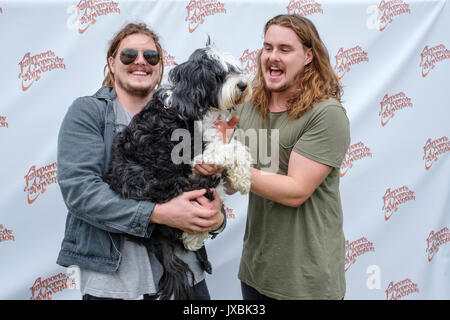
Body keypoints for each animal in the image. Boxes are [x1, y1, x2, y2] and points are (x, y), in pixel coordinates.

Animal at [104, 40, 253, 300]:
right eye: (218, 75)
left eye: (235, 70)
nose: (243, 84)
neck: (192, 105)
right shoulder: (196, 155)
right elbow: (232, 147)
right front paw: (243, 178)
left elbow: (234, 147)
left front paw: (242, 177)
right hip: (171, 183)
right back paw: (194, 235)